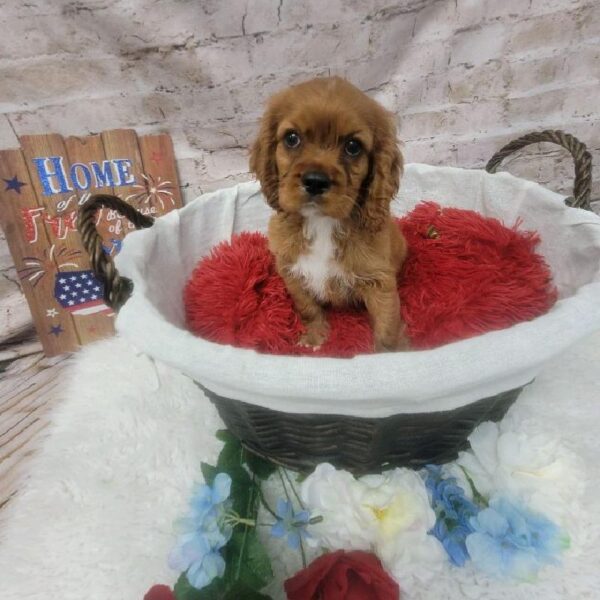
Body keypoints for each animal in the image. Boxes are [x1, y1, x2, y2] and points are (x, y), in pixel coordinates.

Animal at [248, 78, 408, 354]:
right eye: (292, 138)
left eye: (353, 146)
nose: (315, 181)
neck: (321, 223)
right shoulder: (291, 272)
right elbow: (308, 309)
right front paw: (315, 338)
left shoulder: (380, 282)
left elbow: (387, 328)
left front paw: (390, 355)